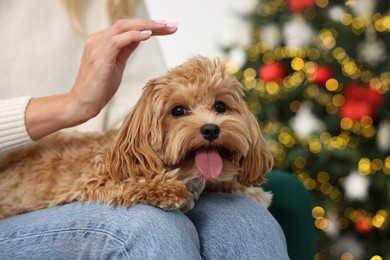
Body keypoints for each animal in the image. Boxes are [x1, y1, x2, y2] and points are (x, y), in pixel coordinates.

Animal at [0, 55, 272, 218]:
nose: (211, 129)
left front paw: (248, 191)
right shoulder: (93, 181)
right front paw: (169, 191)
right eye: (178, 111)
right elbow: (130, 184)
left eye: (220, 106)